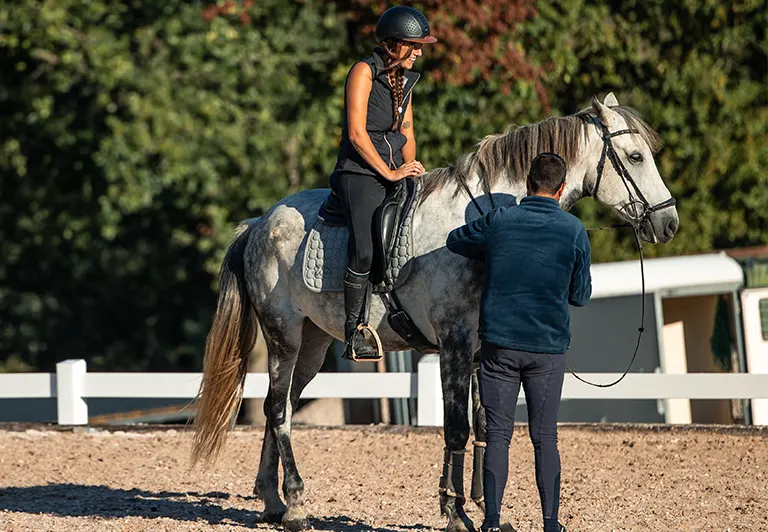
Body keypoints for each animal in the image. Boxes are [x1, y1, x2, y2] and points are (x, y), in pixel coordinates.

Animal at [190, 95, 680, 532]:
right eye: (635, 157)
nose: (668, 223)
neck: (478, 220)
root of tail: (259, 224)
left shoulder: (482, 350)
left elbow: (481, 423)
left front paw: (477, 507)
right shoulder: (455, 344)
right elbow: (456, 427)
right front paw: (456, 513)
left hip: (312, 344)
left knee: (284, 407)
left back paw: (272, 501)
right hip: (284, 336)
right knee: (276, 409)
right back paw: (294, 505)